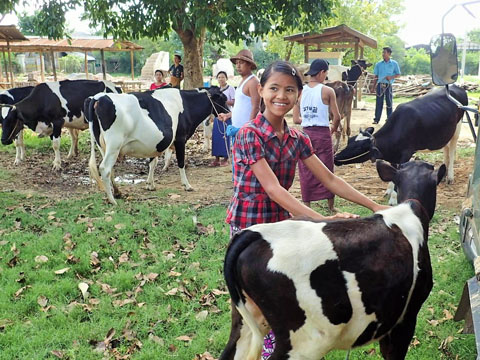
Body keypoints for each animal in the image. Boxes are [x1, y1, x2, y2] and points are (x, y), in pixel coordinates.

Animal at [85, 86, 228, 205]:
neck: (186, 104)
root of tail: (98, 97)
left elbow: (152, 162)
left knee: (110, 170)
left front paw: (150, 184)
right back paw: (112, 200)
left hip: (103, 145)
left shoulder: (154, 143)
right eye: (223, 99)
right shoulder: (180, 138)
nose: (228, 113)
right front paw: (187, 185)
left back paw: (117, 193)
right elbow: (181, 162)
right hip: (114, 144)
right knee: (104, 168)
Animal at [336, 84, 466, 186]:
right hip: (446, 133)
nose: (336, 157)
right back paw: (444, 175)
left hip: (457, 130)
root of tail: (456, 86)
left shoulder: (406, 154)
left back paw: (450, 177)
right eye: (349, 141)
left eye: (359, 148)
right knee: (446, 150)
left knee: (452, 151)